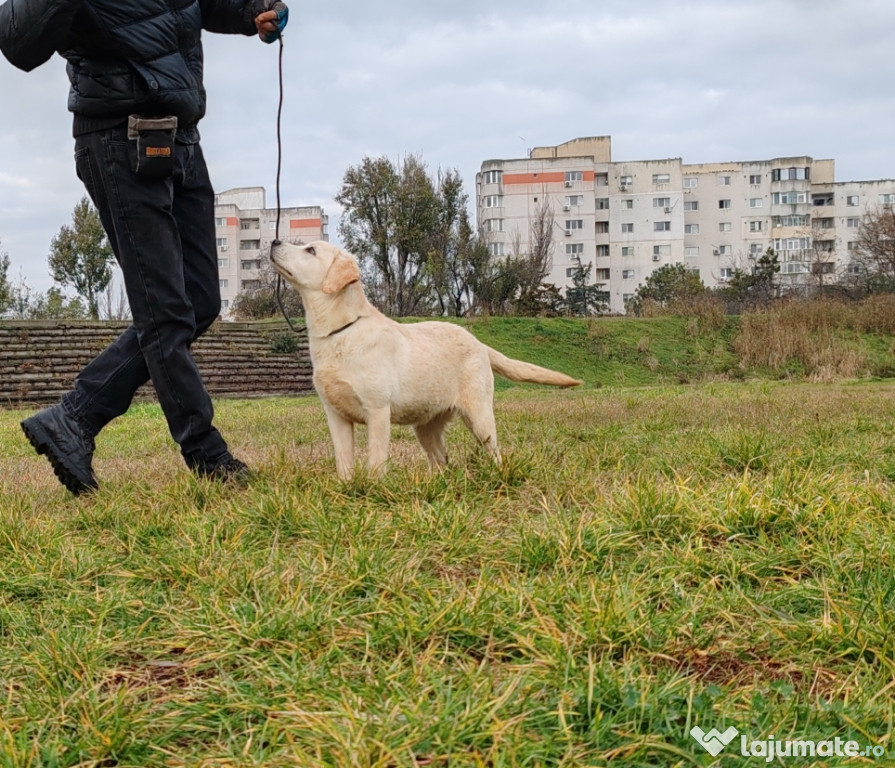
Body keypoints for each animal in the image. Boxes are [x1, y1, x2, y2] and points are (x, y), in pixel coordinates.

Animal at [270, 242, 584, 480]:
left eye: (310, 250)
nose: (274, 241)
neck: (340, 331)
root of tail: (479, 343)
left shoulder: (377, 412)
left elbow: (376, 461)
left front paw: (373, 490)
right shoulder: (336, 416)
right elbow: (343, 462)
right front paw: (346, 490)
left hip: (479, 416)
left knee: (494, 451)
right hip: (426, 426)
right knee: (442, 460)